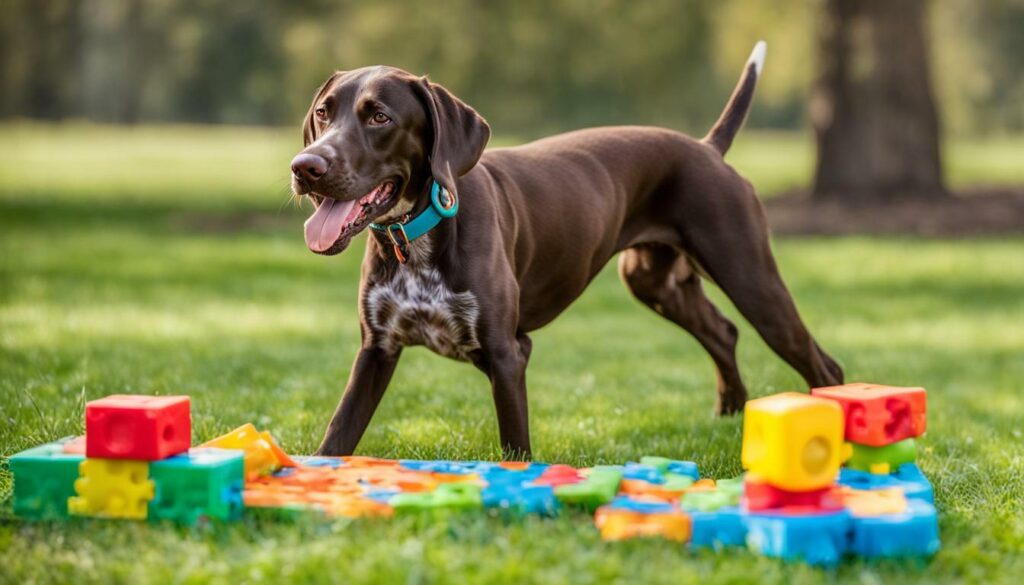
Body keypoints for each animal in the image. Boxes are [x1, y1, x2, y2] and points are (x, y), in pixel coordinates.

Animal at [288, 43, 839, 461]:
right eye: (323, 112)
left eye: (379, 116)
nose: (305, 166)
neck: (420, 235)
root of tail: (706, 148)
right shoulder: (376, 349)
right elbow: (337, 437)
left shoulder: (508, 354)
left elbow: (515, 450)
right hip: (655, 283)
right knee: (723, 332)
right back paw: (729, 416)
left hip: (752, 279)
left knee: (822, 365)